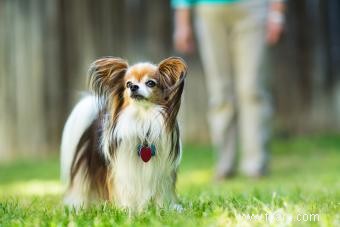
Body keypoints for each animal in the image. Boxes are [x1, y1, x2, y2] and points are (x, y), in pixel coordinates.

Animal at [61, 56, 189, 211]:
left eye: (150, 83)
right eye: (128, 84)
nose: (133, 87)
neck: (142, 120)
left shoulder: (161, 174)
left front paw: (164, 209)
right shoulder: (123, 172)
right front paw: (128, 210)